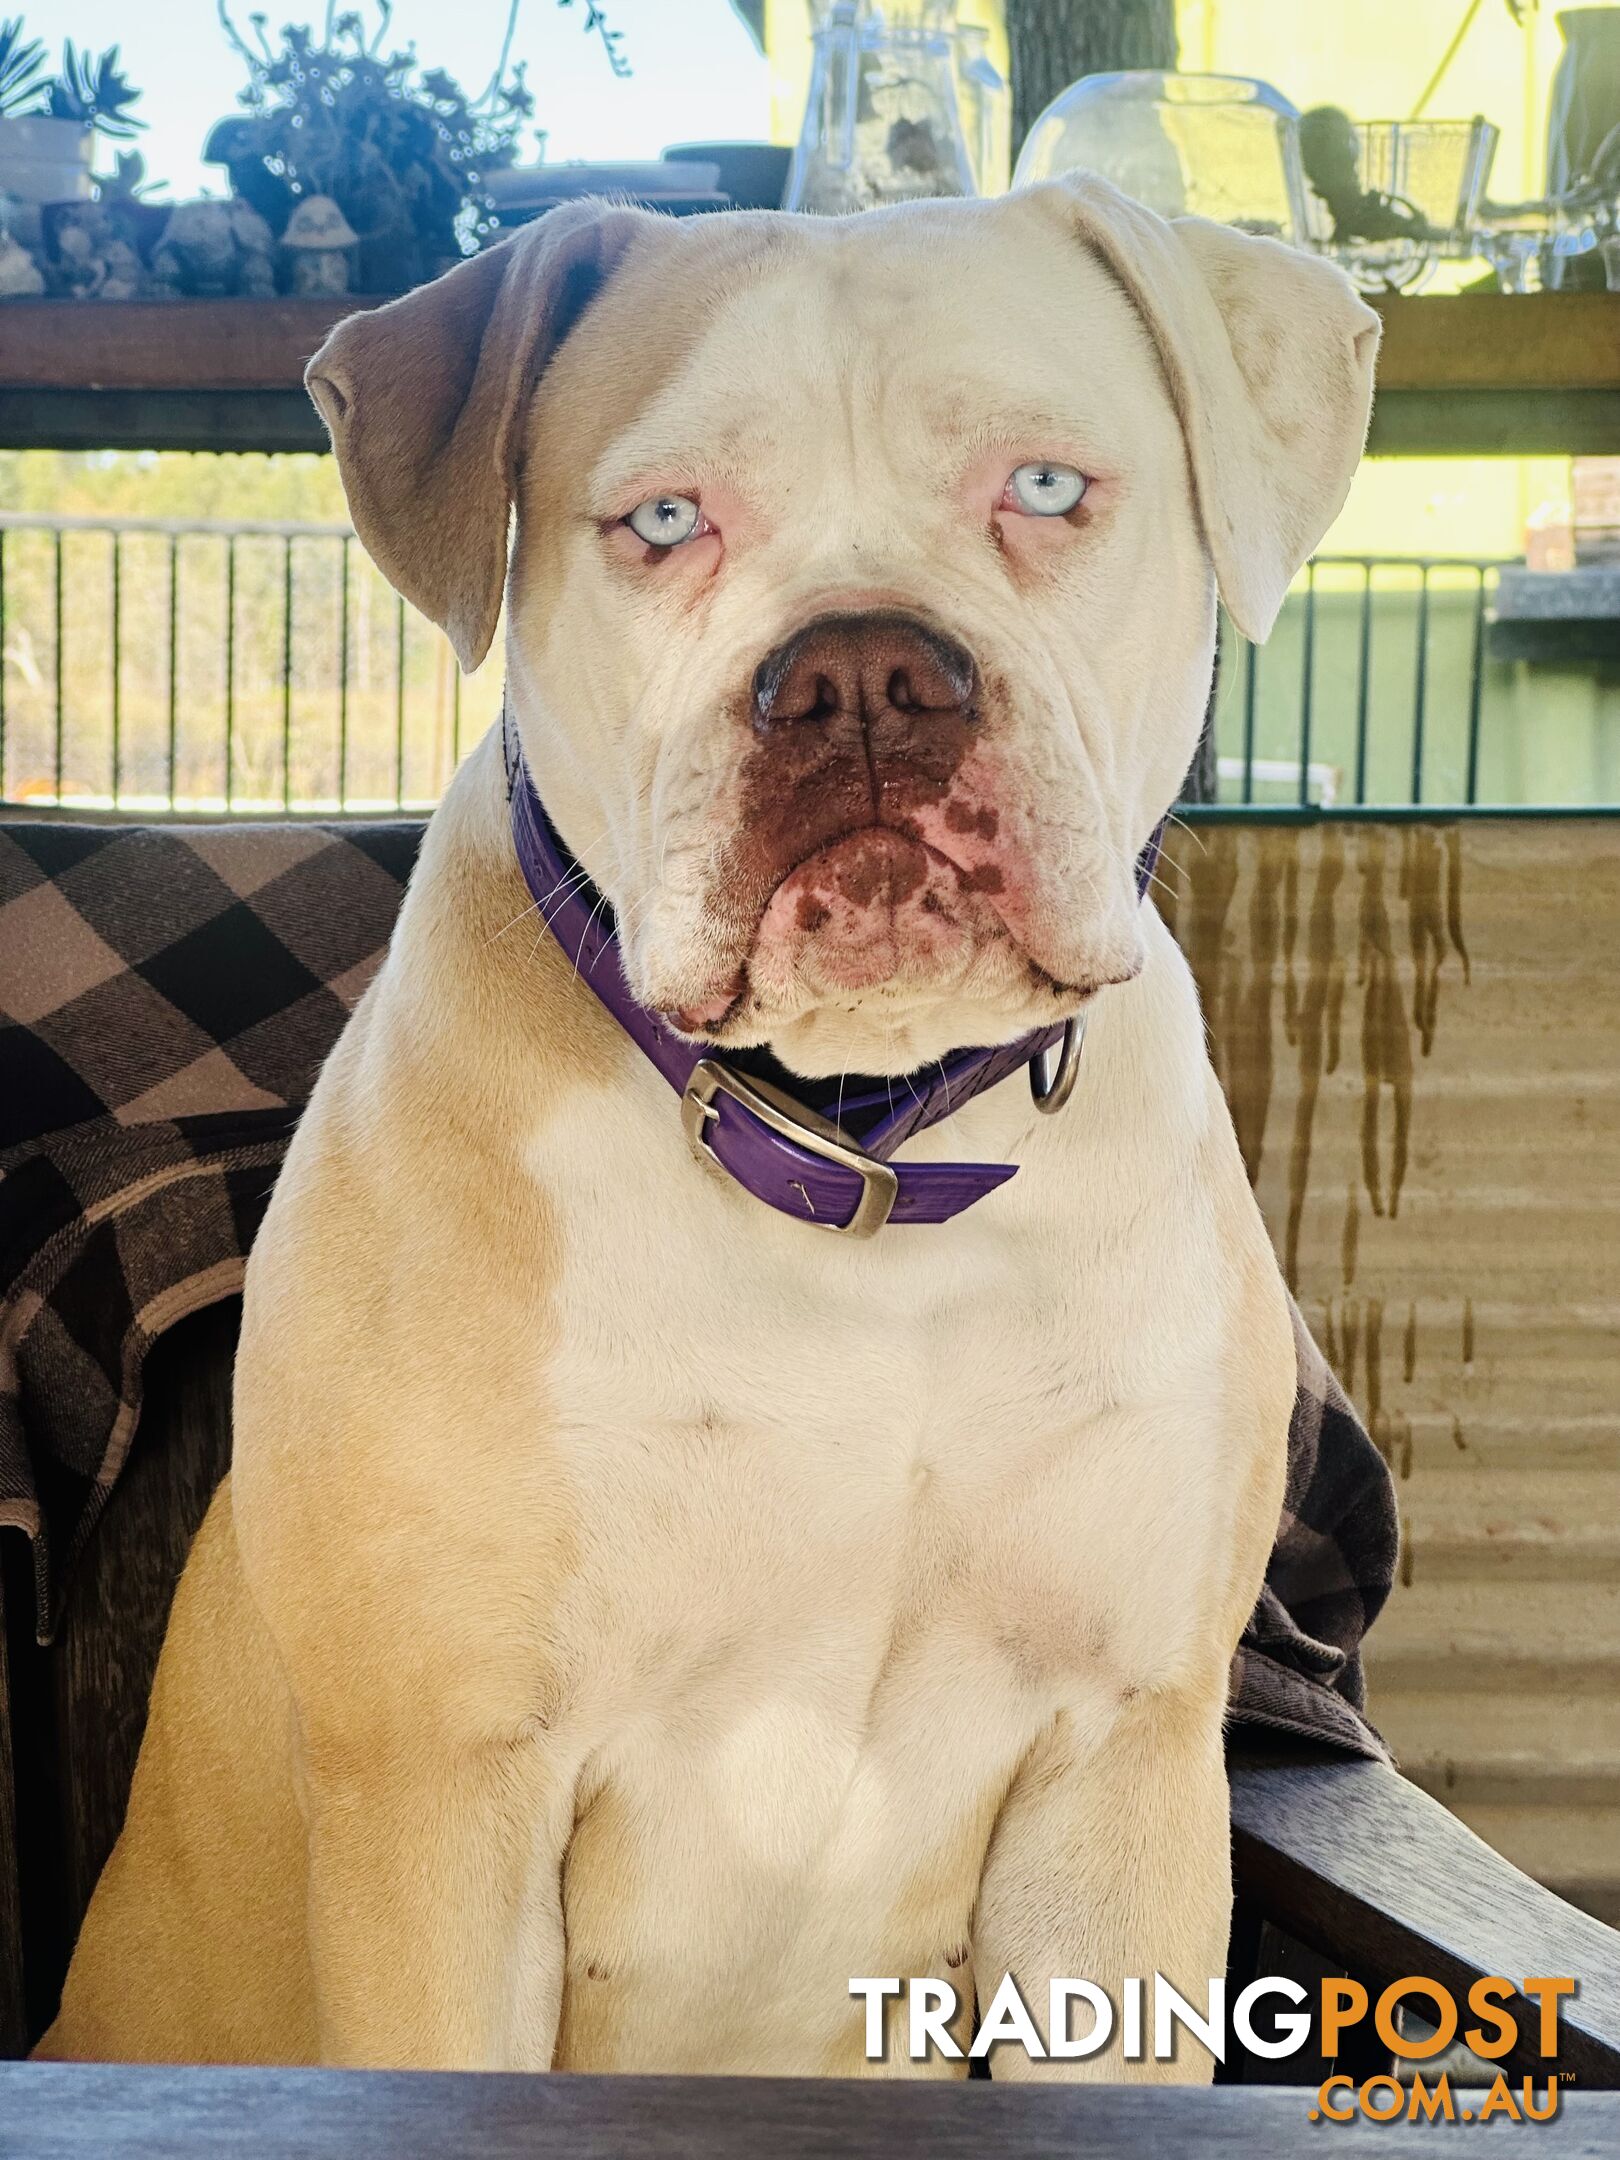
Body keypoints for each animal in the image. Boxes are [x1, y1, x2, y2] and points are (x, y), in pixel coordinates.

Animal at [44, 181, 1373, 2073]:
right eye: (664, 521)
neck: (858, 1147)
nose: (867, 672)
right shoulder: (446, 1796)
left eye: (1047, 488)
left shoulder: (1120, 1760)